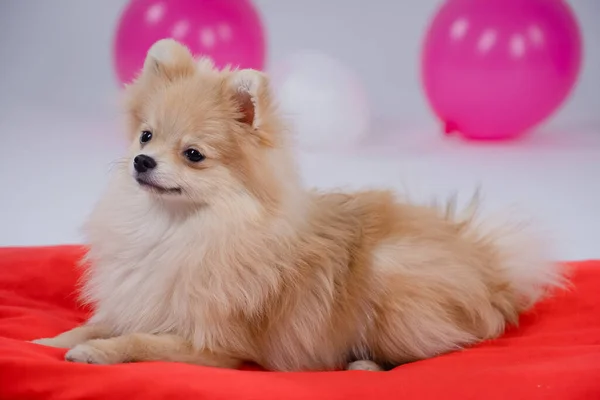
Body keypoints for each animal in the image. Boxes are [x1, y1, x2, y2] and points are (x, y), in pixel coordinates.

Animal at [34, 39, 568, 372]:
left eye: (193, 155)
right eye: (146, 135)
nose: (142, 161)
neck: (177, 229)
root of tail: (491, 268)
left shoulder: (216, 345)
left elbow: (139, 341)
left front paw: (97, 353)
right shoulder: (141, 300)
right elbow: (97, 322)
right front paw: (49, 341)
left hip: (392, 276)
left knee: (443, 348)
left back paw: (366, 363)